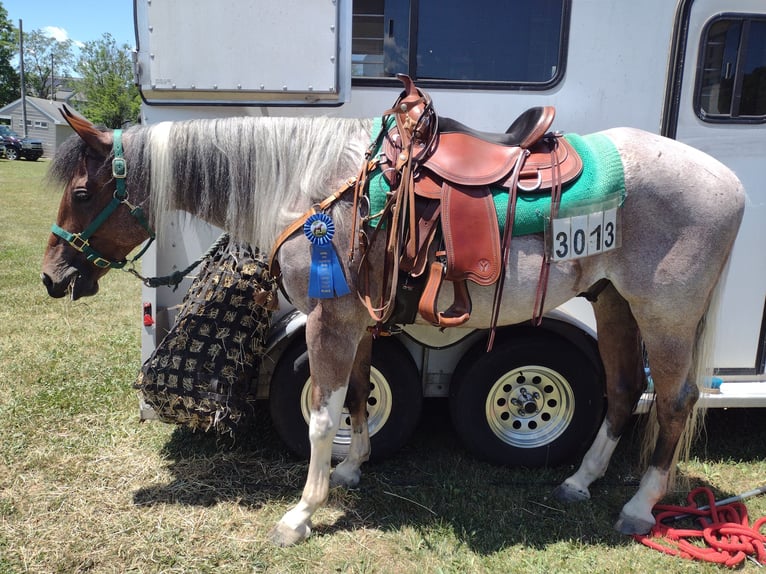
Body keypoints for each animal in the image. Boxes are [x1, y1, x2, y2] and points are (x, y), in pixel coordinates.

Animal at [41, 103, 744, 547]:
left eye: (81, 192)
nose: (51, 276)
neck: (315, 187)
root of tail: (730, 182)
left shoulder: (328, 320)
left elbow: (321, 417)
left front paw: (302, 513)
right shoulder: (356, 320)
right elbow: (355, 396)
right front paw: (353, 470)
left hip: (666, 316)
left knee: (674, 402)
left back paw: (637, 508)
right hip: (614, 302)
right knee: (624, 392)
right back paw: (578, 482)